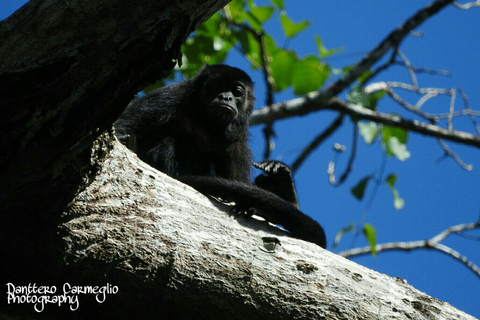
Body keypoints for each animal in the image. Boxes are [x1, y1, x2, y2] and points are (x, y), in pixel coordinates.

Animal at [114, 63, 326, 248]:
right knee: (167, 142)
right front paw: (125, 136)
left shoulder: (238, 139)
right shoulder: (170, 96)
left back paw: (282, 184)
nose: (226, 97)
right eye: (216, 86)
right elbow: (127, 121)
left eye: (237, 92)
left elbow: (237, 181)